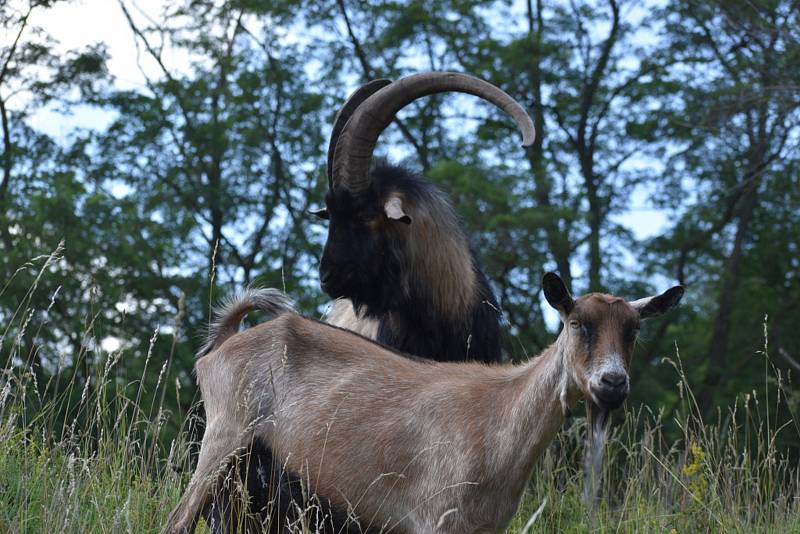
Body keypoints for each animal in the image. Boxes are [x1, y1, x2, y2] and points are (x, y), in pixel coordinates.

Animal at [167, 276, 680, 534]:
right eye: (577, 323)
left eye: (634, 329)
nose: (612, 384)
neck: (499, 419)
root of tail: (222, 344)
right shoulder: (435, 518)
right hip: (224, 435)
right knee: (177, 520)